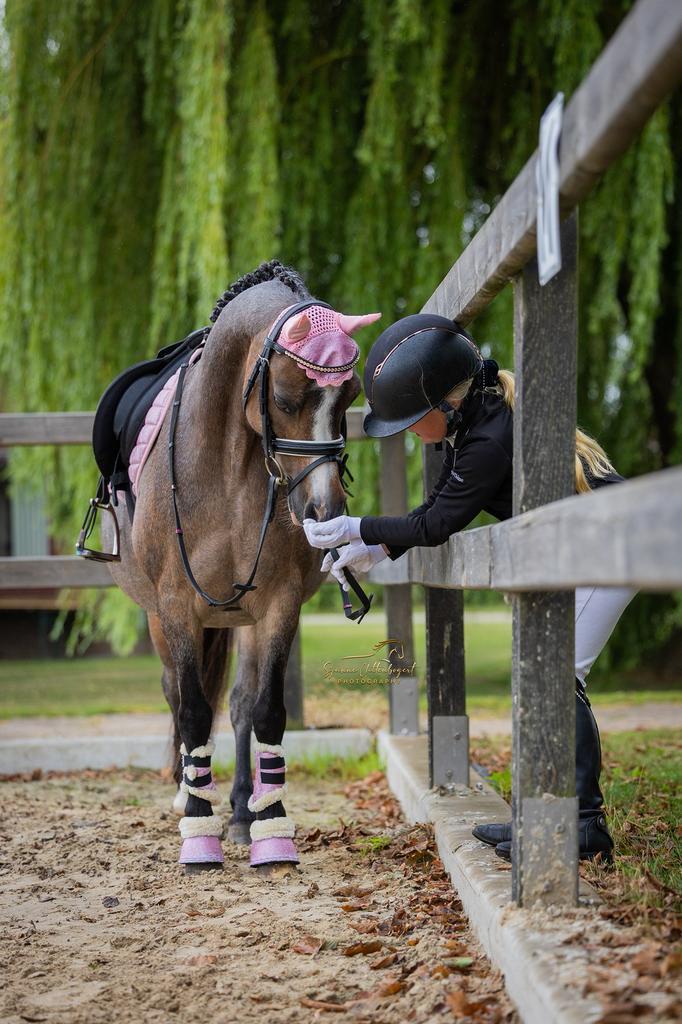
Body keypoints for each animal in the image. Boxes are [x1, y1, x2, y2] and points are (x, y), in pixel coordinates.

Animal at [101, 260, 379, 875]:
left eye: (348, 396)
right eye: (284, 395)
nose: (323, 512)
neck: (225, 467)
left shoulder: (277, 606)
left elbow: (266, 710)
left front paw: (270, 829)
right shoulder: (177, 607)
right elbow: (191, 713)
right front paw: (197, 835)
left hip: (243, 620)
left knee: (239, 704)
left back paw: (239, 812)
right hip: (162, 621)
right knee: (178, 696)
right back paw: (190, 797)